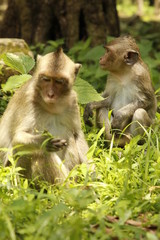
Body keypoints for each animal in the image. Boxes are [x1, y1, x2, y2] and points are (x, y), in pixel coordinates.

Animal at [0, 48, 89, 184]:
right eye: (46, 79)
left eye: (59, 81)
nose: (50, 94)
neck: (52, 106)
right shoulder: (28, 99)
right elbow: (17, 138)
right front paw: (44, 141)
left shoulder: (72, 101)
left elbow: (77, 134)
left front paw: (92, 174)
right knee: (41, 152)